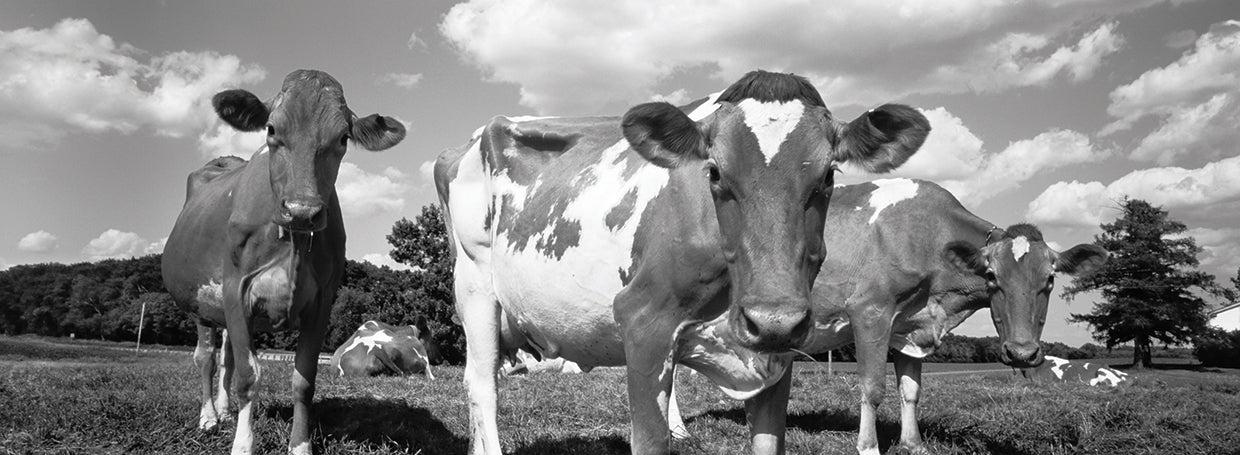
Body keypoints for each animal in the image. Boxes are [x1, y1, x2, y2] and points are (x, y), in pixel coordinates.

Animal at [162, 70, 406, 455]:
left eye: (343, 138)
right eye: (272, 129)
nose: (302, 210)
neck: (292, 238)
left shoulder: (322, 301)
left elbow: (303, 380)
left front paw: (300, 446)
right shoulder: (235, 289)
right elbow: (248, 376)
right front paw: (243, 445)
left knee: (225, 359)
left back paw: (226, 412)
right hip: (202, 304)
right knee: (205, 359)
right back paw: (210, 417)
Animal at [436, 70, 931, 455]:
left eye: (828, 175)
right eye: (713, 171)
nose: (773, 319)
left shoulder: (777, 354)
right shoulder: (643, 322)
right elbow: (650, 439)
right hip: (475, 287)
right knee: (482, 386)